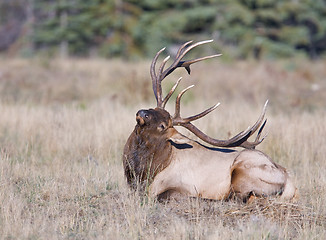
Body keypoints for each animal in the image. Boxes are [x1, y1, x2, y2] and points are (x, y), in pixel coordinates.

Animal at [121, 40, 296, 202]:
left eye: (162, 126)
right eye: (152, 108)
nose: (142, 113)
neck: (144, 172)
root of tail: (290, 181)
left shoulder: (180, 186)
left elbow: (163, 195)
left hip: (245, 171)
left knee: (239, 197)